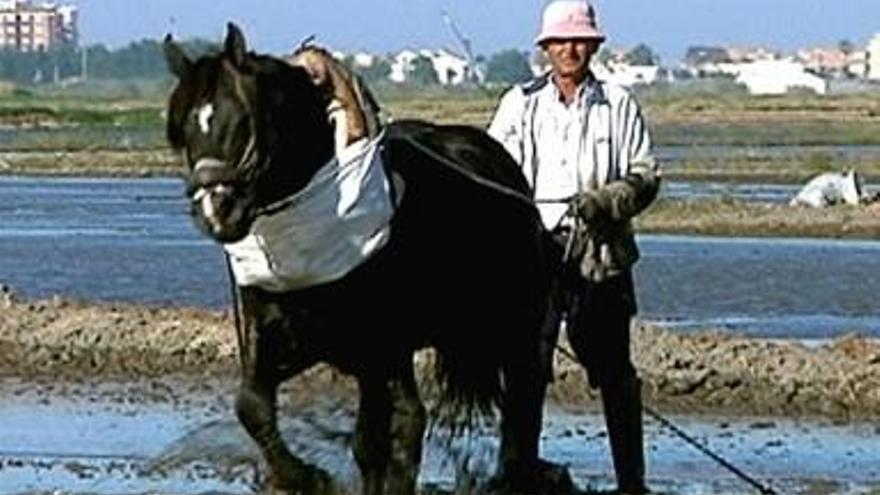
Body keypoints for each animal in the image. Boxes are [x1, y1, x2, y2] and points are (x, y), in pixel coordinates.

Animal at [163, 25, 564, 495]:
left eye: (244, 119)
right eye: (182, 129)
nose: (216, 209)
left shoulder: (382, 347)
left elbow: (398, 428)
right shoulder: (290, 342)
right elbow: (253, 406)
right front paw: (304, 476)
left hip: (512, 324)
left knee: (520, 392)